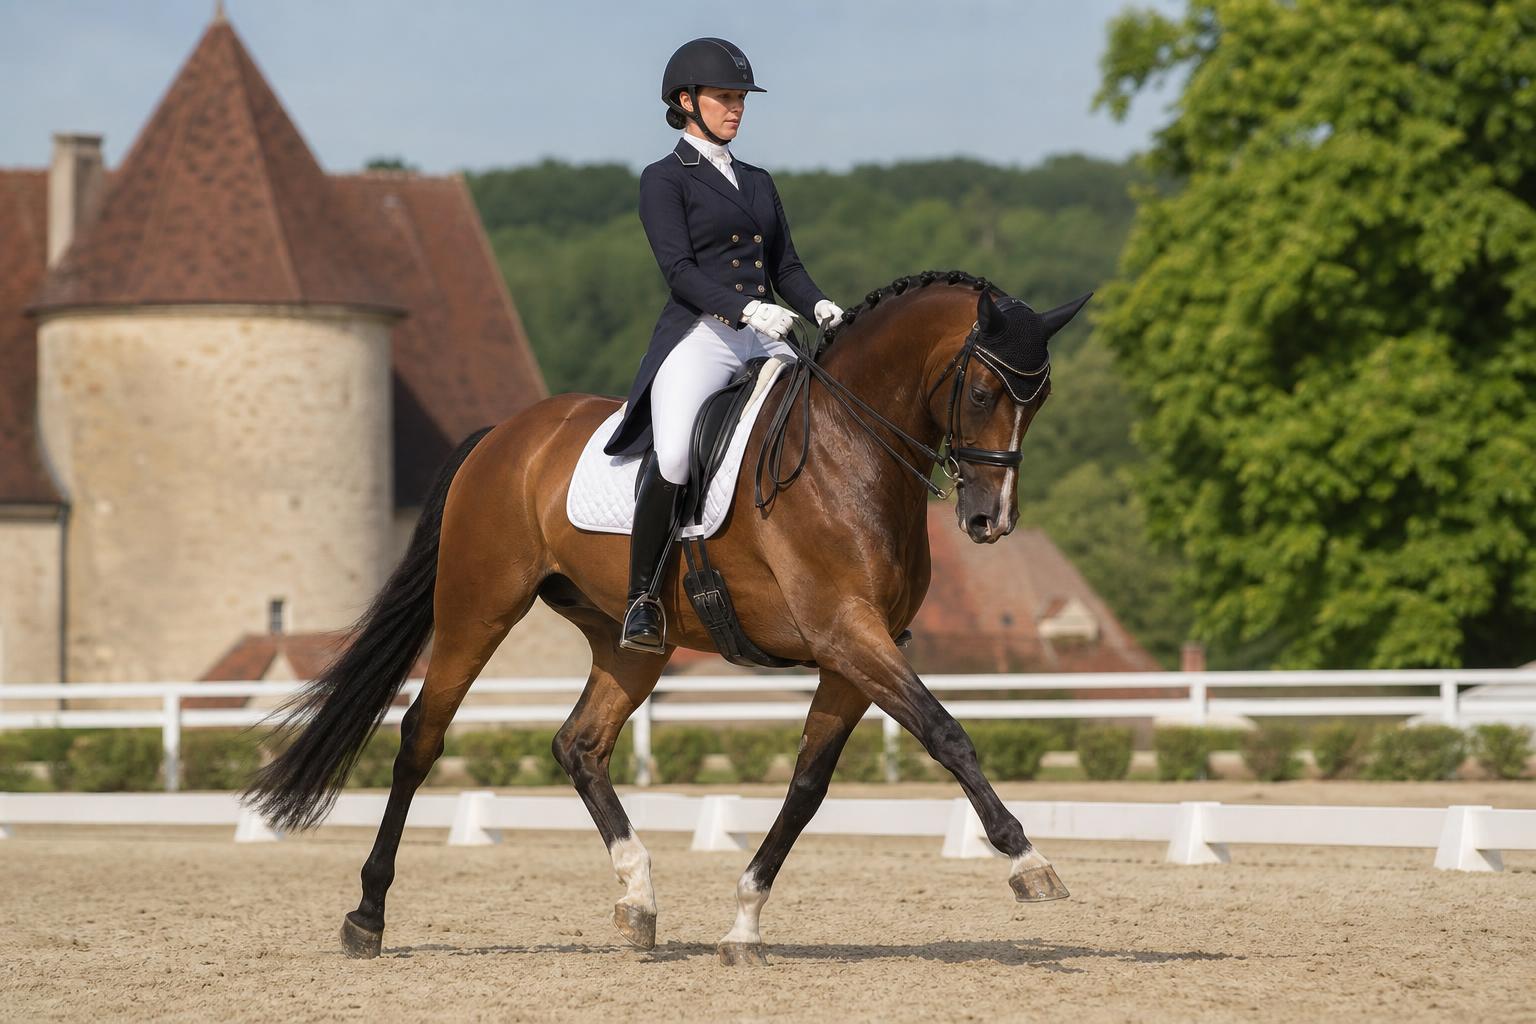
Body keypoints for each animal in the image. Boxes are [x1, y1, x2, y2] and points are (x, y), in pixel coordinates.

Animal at [243, 269, 1089, 966]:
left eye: (1042, 399)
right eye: (981, 394)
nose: (990, 521)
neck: (850, 450)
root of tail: (502, 436)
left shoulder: (854, 652)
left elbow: (808, 786)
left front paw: (743, 924)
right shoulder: (847, 632)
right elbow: (947, 733)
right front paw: (1029, 862)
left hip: (627, 642)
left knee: (579, 745)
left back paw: (638, 900)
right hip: (476, 608)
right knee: (423, 734)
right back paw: (367, 916)